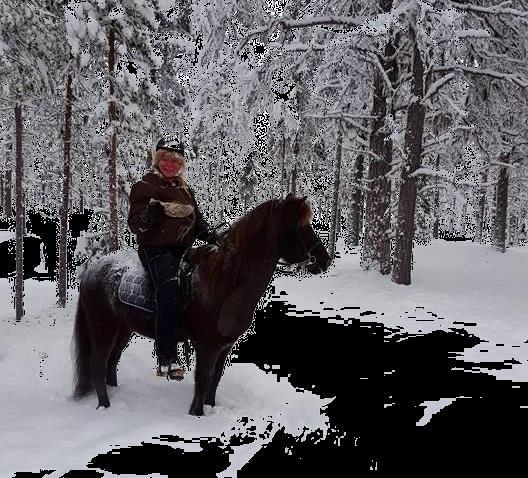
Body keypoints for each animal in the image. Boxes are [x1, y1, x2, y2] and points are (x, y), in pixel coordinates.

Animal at [72, 196, 332, 416]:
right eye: (299, 226)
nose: (325, 260)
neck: (225, 281)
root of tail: (91, 271)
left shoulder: (225, 346)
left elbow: (215, 378)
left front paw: (210, 407)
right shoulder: (207, 345)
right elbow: (204, 378)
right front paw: (196, 414)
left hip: (123, 329)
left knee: (111, 361)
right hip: (103, 329)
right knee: (98, 364)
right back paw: (105, 406)